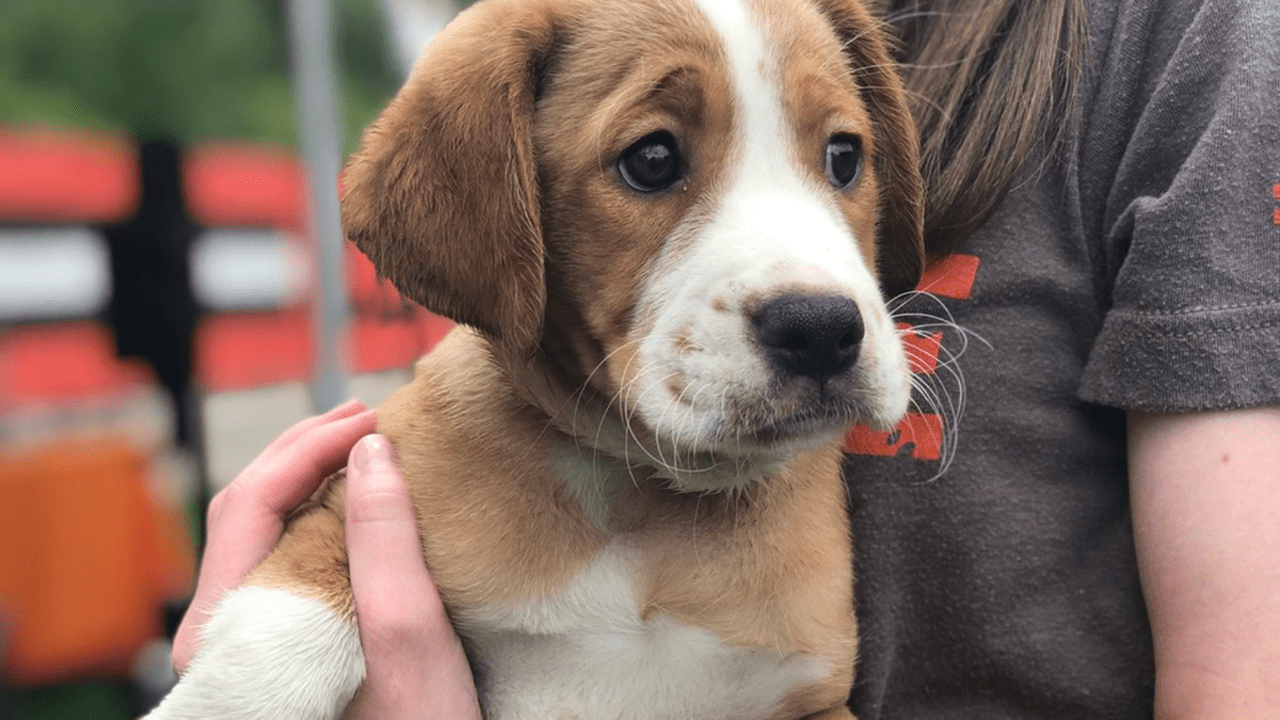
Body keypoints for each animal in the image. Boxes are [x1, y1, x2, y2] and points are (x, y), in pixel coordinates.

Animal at [147, 0, 921, 712]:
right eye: (652, 160)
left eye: (844, 156)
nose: (821, 329)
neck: (638, 496)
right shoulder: (351, 483)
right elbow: (287, 606)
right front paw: (218, 702)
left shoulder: (813, 698)